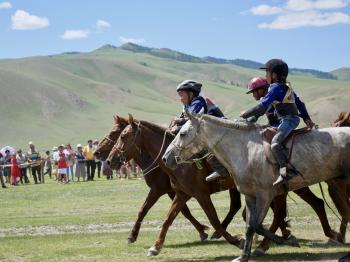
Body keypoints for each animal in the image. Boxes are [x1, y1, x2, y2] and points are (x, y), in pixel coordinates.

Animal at [93, 114, 211, 244]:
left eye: (115, 133)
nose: (96, 153)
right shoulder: (173, 191)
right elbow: (185, 211)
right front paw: (202, 230)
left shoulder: (157, 190)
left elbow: (143, 210)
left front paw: (132, 236)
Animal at [106, 114, 344, 256]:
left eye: (122, 136)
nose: (109, 160)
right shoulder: (181, 193)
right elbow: (167, 218)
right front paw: (154, 246)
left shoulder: (197, 194)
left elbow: (213, 219)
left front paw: (234, 240)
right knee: (279, 212)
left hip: (291, 186)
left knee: (311, 205)